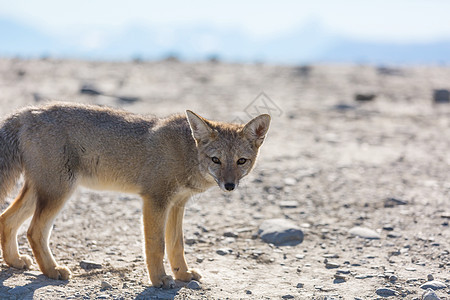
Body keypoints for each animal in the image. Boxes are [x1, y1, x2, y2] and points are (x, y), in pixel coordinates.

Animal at [0, 102, 268, 288]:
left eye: (241, 161)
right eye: (216, 160)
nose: (230, 185)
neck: (186, 152)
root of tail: (27, 111)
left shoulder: (177, 204)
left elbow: (176, 245)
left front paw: (182, 274)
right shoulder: (155, 200)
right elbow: (156, 246)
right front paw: (159, 279)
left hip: (41, 192)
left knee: (7, 220)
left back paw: (15, 261)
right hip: (58, 192)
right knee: (34, 231)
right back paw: (52, 271)